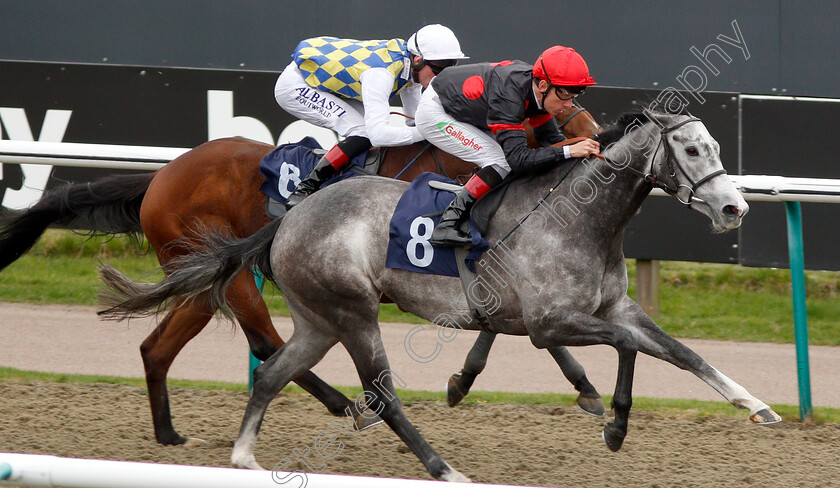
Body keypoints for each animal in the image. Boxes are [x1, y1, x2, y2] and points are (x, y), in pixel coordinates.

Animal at [0, 106, 604, 446]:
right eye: (567, 109)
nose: (595, 139)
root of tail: (159, 178)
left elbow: (513, 321)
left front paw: (579, 387)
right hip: (227, 272)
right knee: (265, 341)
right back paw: (345, 405)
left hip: (200, 278)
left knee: (158, 347)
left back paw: (168, 433)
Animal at [97, 107, 780, 480]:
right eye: (690, 148)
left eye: (716, 146)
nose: (735, 208)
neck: (578, 216)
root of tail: (290, 217)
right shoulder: (550, 321)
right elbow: (627, 348)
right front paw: (612, 422)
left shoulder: (612, 305)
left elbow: (681, 352)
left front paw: (756, 406)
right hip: (352, 312)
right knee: (381, 397)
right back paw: (445, 468)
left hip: (319, 319)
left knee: (271, 372)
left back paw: (243, 459)